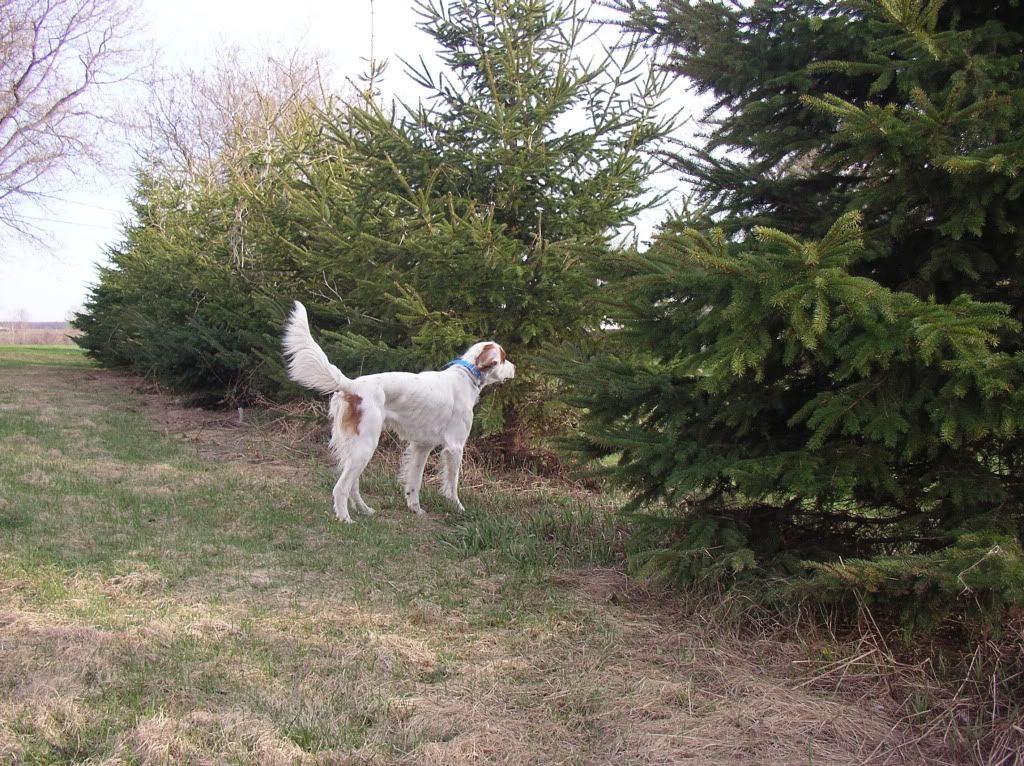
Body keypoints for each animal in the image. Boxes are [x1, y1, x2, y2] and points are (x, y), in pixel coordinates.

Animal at [284, 303, 516, 524]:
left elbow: (414, 481)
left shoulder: (422, 446)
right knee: (341, 487)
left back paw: (364, 510)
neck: (465, 376)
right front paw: (458, 508)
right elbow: (452, 484)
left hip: (355, 447)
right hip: (366, 446)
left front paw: (415, 508)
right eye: (504, 359)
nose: (515, 368)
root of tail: (352, 386)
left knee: (352, 485)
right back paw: (345, 518)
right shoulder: (455, 446)